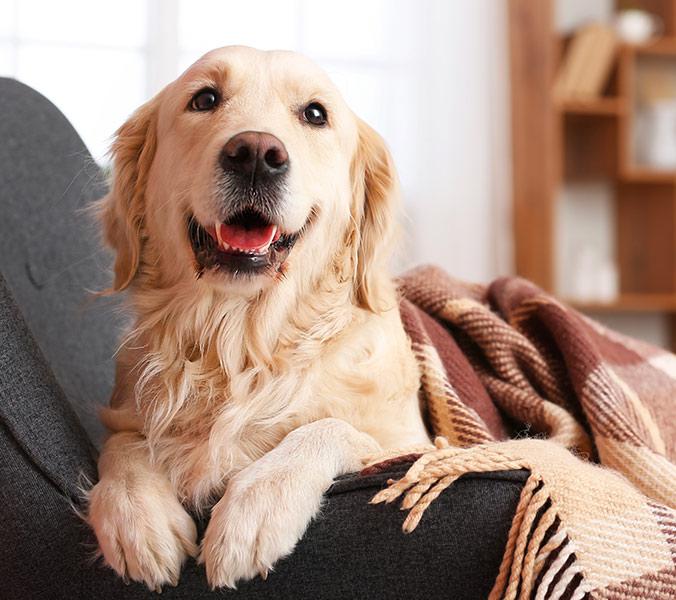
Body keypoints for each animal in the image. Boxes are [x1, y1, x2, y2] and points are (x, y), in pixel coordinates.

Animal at [87, 47, 430, 592]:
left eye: (315, 113)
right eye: (205, 99)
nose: (255, 153)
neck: (241, 341)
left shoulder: (420, 446)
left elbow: (331, 428)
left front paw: (256, 507)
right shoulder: (127, 412)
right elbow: (122, 443)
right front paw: (135, 513)